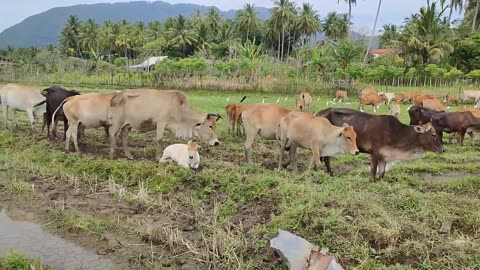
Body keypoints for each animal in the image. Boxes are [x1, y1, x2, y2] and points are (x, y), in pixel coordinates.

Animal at [316, 107, 444, 179]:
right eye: (433, 135)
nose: (443, 149)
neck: (396, 133)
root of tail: (318, 114)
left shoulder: (384, 156)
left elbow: (382, 174)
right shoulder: (375, 152)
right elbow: (373, 171)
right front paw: (372, 181)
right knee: (326, 159)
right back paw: (331, 174)